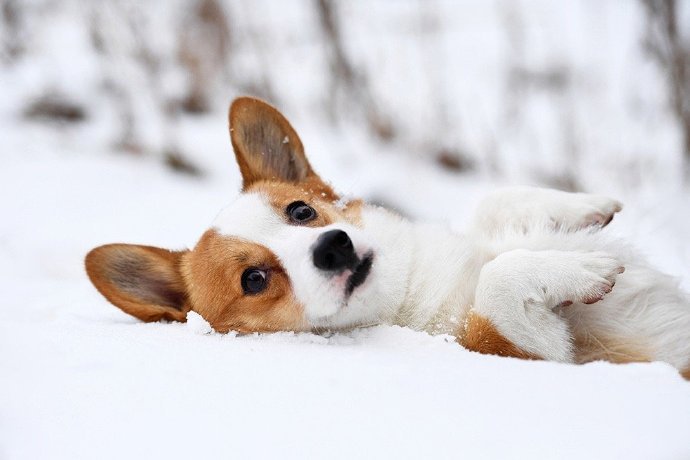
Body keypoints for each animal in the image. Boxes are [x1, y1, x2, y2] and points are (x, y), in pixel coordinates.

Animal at [84, 96, 688, 378]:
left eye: (301, 210)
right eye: (253, 280)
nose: (334, 247)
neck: (409, 289)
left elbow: (489, 204)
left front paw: (584, 208)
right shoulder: (529, 351)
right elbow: (498, 282)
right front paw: (582, 269)